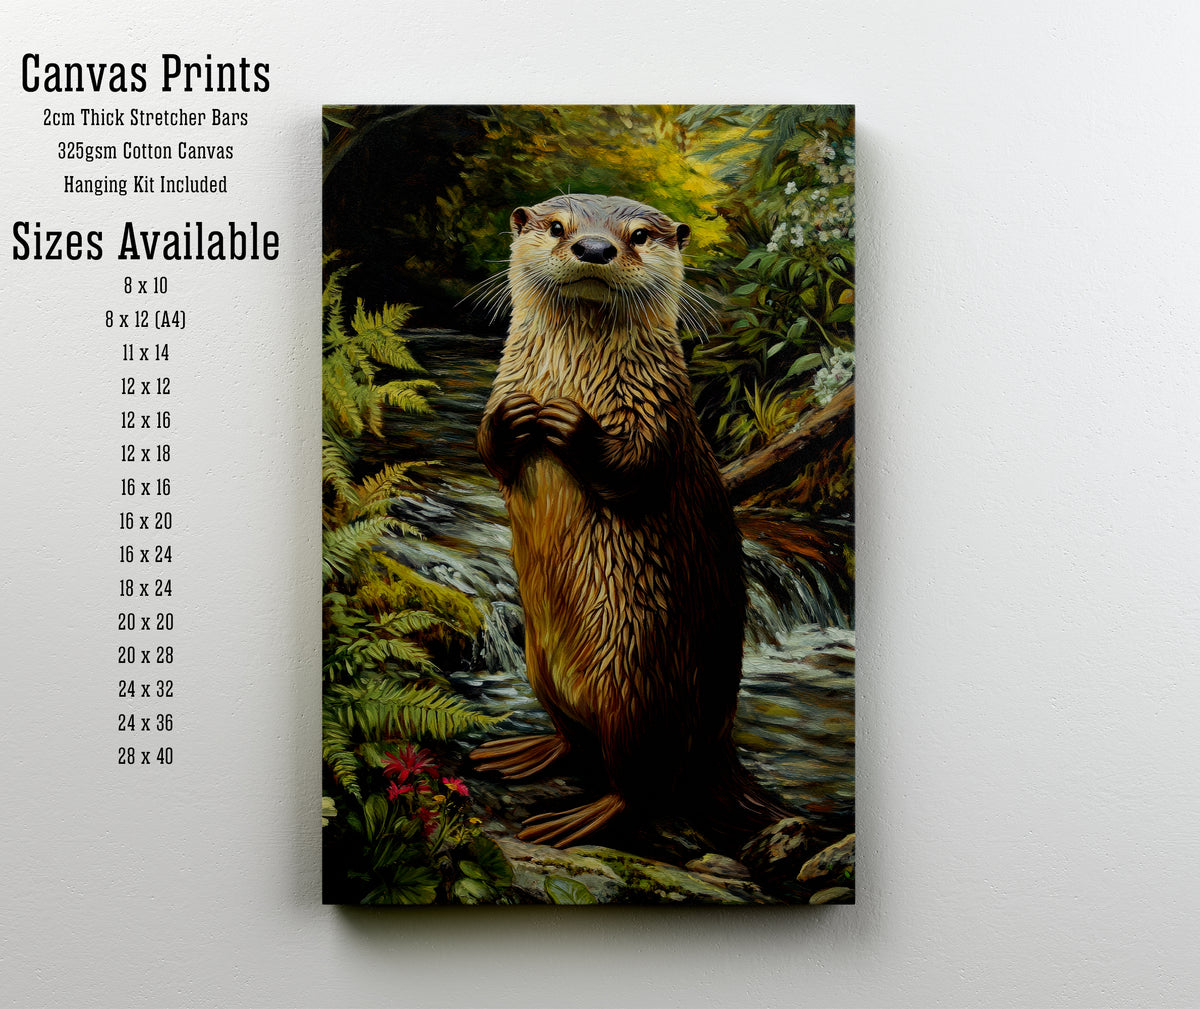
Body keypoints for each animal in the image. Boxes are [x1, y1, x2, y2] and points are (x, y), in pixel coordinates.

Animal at [471, 193, 781, 848]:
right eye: (557, 227)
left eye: (638, 234)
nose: (594, 247)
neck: (569, 374)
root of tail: (720, 741)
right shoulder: (504, 385)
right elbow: (490, 450)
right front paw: (517, 420)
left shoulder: (658, 410)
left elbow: (635, 468)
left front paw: (572, 425)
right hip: (539, 664)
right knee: (575, 741)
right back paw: (525, 754)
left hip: (641, 688)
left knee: (644, 784)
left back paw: (577, 820)